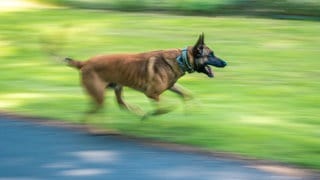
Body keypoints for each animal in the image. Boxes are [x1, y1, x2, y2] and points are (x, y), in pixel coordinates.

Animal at [65, 33, 226, 119]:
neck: (180, 58)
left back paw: (136, 112)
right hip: (99, 96)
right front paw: (154, 113)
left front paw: (193, 109)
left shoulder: (172, 86)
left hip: (117, 88)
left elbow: (187, 94)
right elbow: (164, 107)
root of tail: (84, 63)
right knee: (90, 113)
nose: (225, 63)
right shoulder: (152, 93)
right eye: (211, 54)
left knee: (121, 104)